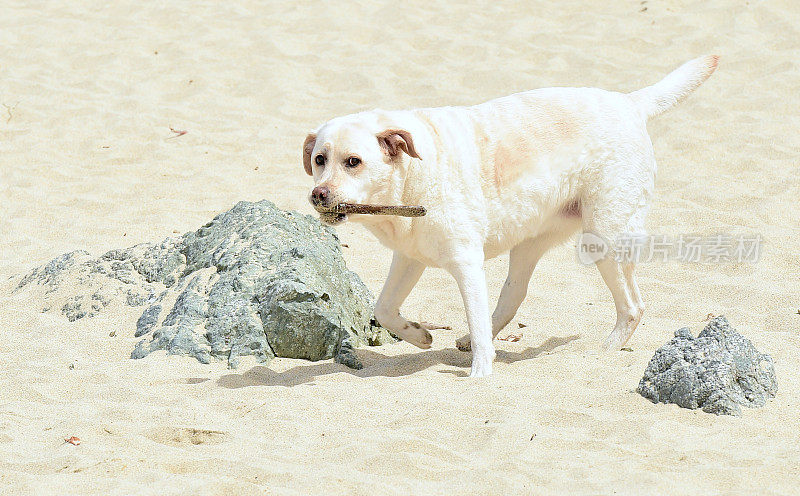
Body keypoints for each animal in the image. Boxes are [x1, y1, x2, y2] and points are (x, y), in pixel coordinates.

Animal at [304, 56, 716, 376]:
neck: (412, 177)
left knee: (632, 307)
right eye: (319, 160)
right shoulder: (409, 258)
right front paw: (420, 335)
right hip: (531, 242)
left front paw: (481, 375)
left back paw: (604, 351)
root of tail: (630, 103)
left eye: (353, 162)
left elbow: (473, 316)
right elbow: (385, 308)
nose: (317, 195)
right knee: (513, 294)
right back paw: (468, 338)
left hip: (603, 238)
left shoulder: (466, 263)